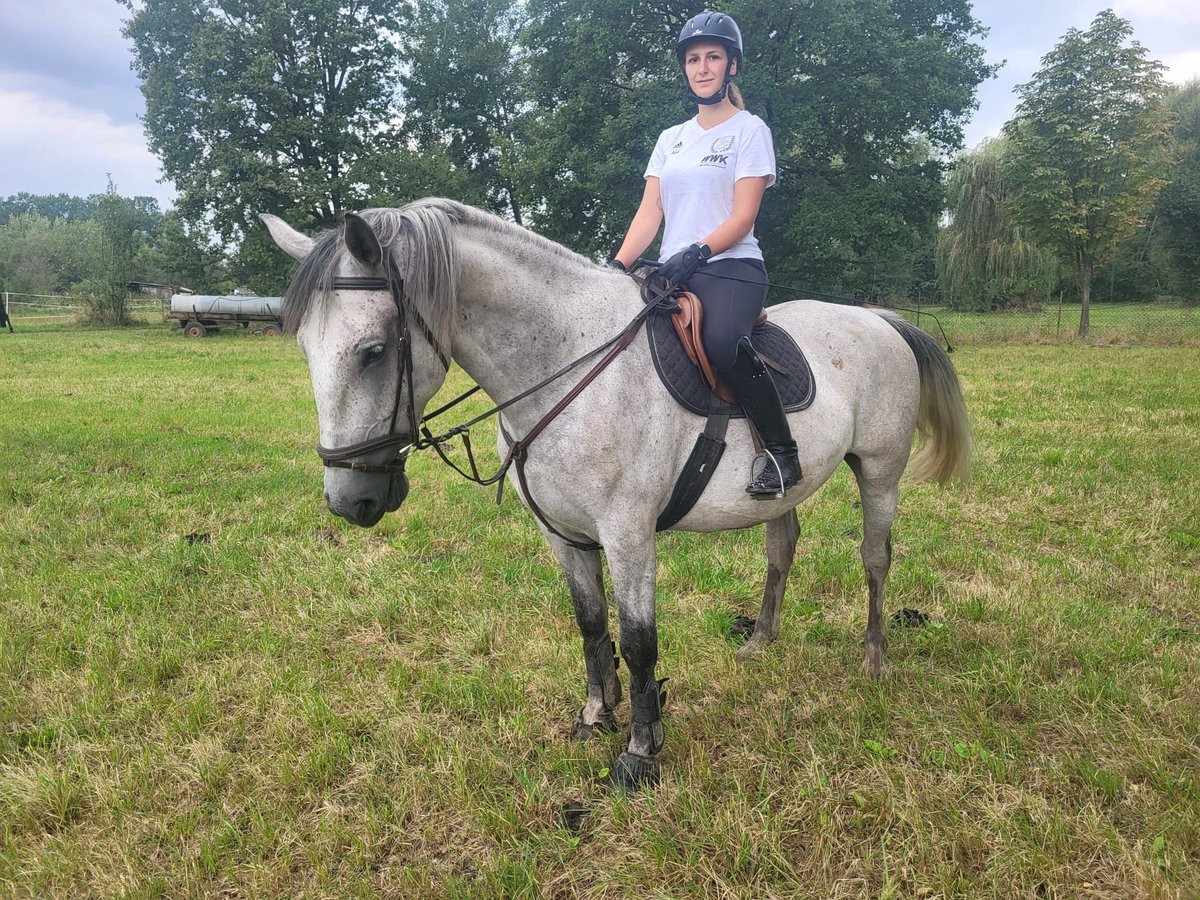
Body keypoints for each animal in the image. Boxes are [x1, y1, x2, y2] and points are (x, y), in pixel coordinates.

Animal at [260, 199, 964, 787]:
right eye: (304, 349)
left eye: (373, 351)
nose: (349, 500)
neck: (562, 364)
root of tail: (877, 321)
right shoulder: (564, 534)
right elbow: (592, 624)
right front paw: (596, 715)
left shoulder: (627, 533)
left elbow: (638, 640)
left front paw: (640, 750)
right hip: (783, 495)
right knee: (781, 548)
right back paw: (760, 642)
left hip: (879, 472)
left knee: (875, 560)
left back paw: (874, 659)